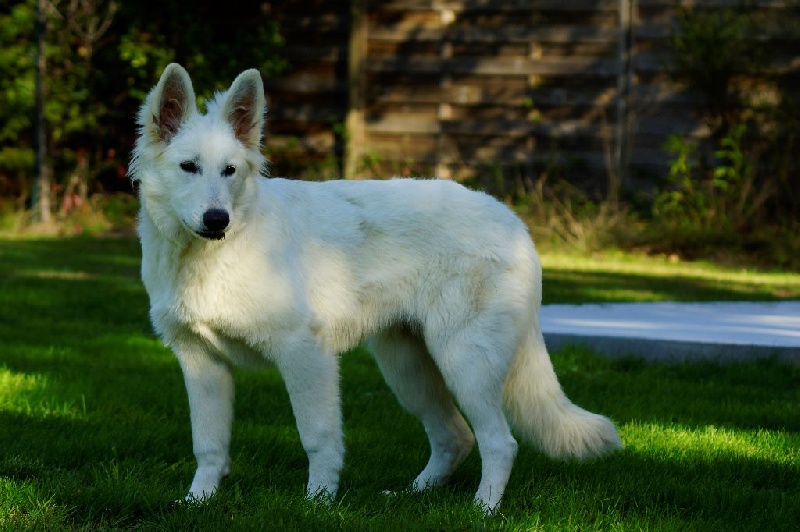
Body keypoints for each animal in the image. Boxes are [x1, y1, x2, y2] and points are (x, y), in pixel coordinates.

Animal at [128, 64, 620, 512]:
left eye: (229, 171)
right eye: (188, 167)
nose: (218, 221)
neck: (213, 257)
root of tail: (515, 222)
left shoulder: (306, 356)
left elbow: (318, 438)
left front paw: (318, 503)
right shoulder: (201, 363)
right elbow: (208, 445)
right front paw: (198, 501)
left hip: (465, 364)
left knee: (500, 442)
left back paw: (482, 510)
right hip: (409, 368)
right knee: (455, 437)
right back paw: (412, 496)